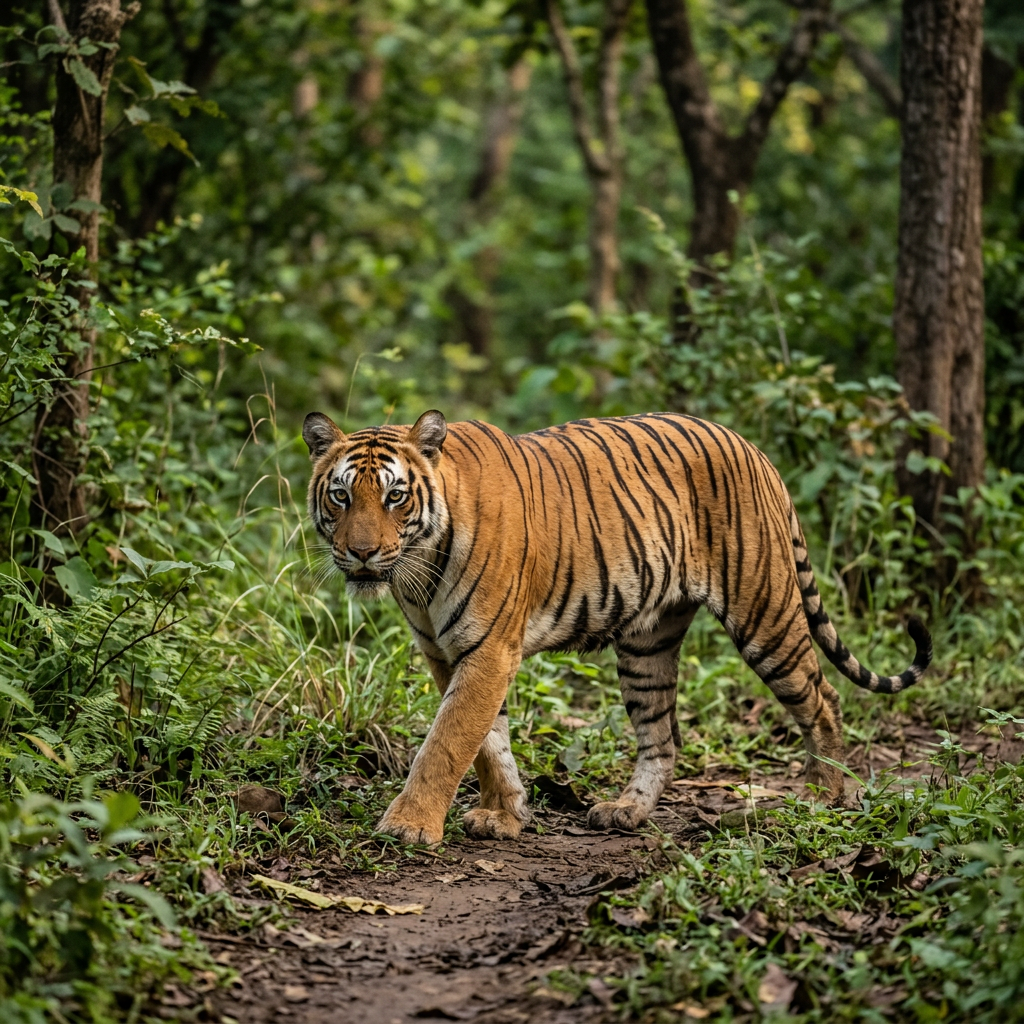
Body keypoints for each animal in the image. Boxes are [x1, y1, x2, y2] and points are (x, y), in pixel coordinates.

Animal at [302, 409, 931, 845]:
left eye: (395, 496)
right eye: (341, 496)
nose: (361, 554)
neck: (421, 565)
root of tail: (754, 449)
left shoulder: (489, 649)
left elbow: (447, 741)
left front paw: (409, 826)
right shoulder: (445, 651)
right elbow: (486, 742)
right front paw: (506, 815)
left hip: (766, 612)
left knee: (822, 697)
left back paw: (828, 795)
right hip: (647, 644)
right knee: (663, 737)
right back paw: (626, 811)